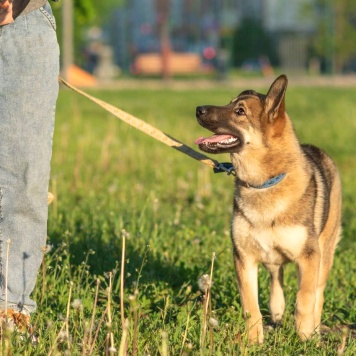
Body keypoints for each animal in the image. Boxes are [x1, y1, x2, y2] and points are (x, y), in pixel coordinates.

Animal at [195, 76, 342, 344]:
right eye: (230, 103)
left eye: (239, 111)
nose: (198, 109)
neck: (264, 183)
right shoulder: (244, 257)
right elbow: (250, 306)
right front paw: (254, 341)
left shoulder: (309, 257)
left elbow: (305, 299)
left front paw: (305, 337)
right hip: (270, 255)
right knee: (276, 278)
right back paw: (277, 311)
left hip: (325, 252)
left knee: (318, 293)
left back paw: (314, 329)